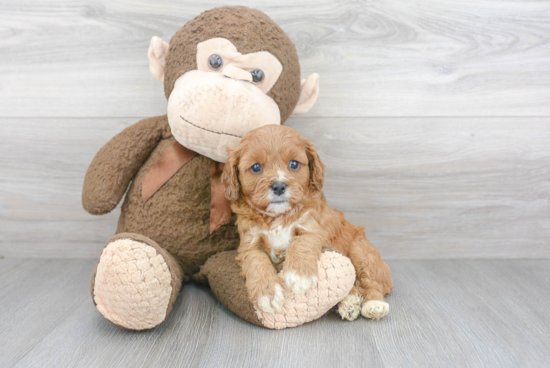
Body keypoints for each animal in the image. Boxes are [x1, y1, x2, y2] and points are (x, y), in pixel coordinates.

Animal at [222, 123, 394, 320]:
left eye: (294, 164)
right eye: (256, 167)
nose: (279, 186)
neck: (277, 217)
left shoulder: (312, 227)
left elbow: (301, 242)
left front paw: (299, 275)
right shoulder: (249, 244)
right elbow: (256, 263)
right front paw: (267, 294)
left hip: (361, 251)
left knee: (370, 282)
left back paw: (374, 304)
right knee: (355, 287)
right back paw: (349, 303)